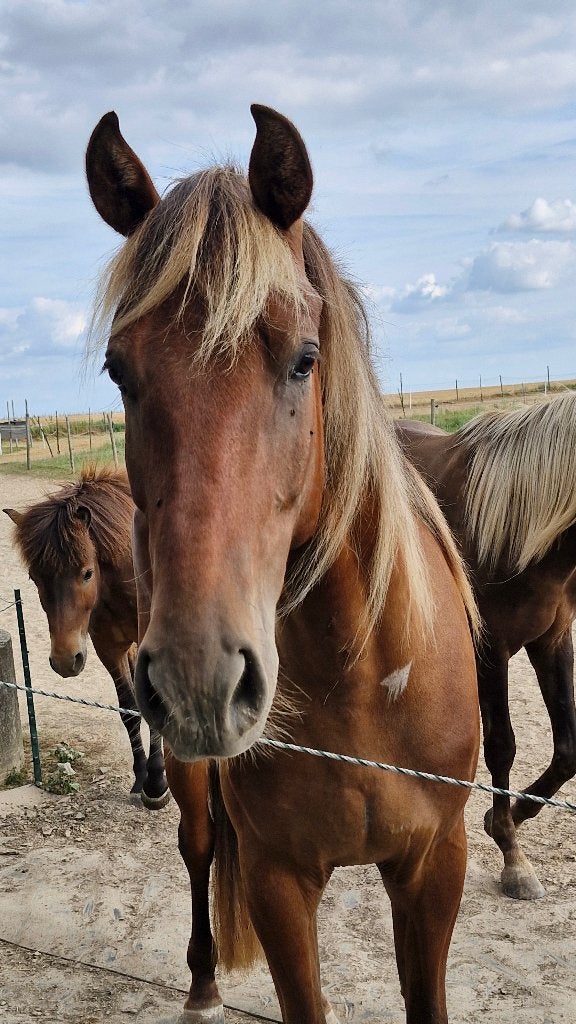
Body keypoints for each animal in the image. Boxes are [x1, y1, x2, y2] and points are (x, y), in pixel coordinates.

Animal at [3, 465, 169, 808]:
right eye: (35, 578)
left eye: (87, 573)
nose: (65, 660)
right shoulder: (108, 648)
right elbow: (129, 710)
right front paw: (140, 779)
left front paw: (157, 785)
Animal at [85, 104, 480, 1024]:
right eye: (119, 370)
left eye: (304, 358)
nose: (200, 678)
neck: (362, 680)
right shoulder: (277, 880)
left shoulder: (434, 869)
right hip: (192, 770)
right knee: (196, 846)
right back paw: (199, 980)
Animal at [396, 399, 576, 901]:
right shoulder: (490, 651)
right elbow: (501, 746)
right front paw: (512, 856)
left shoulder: (553, 640)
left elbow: (568, 750)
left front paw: (508, 815)